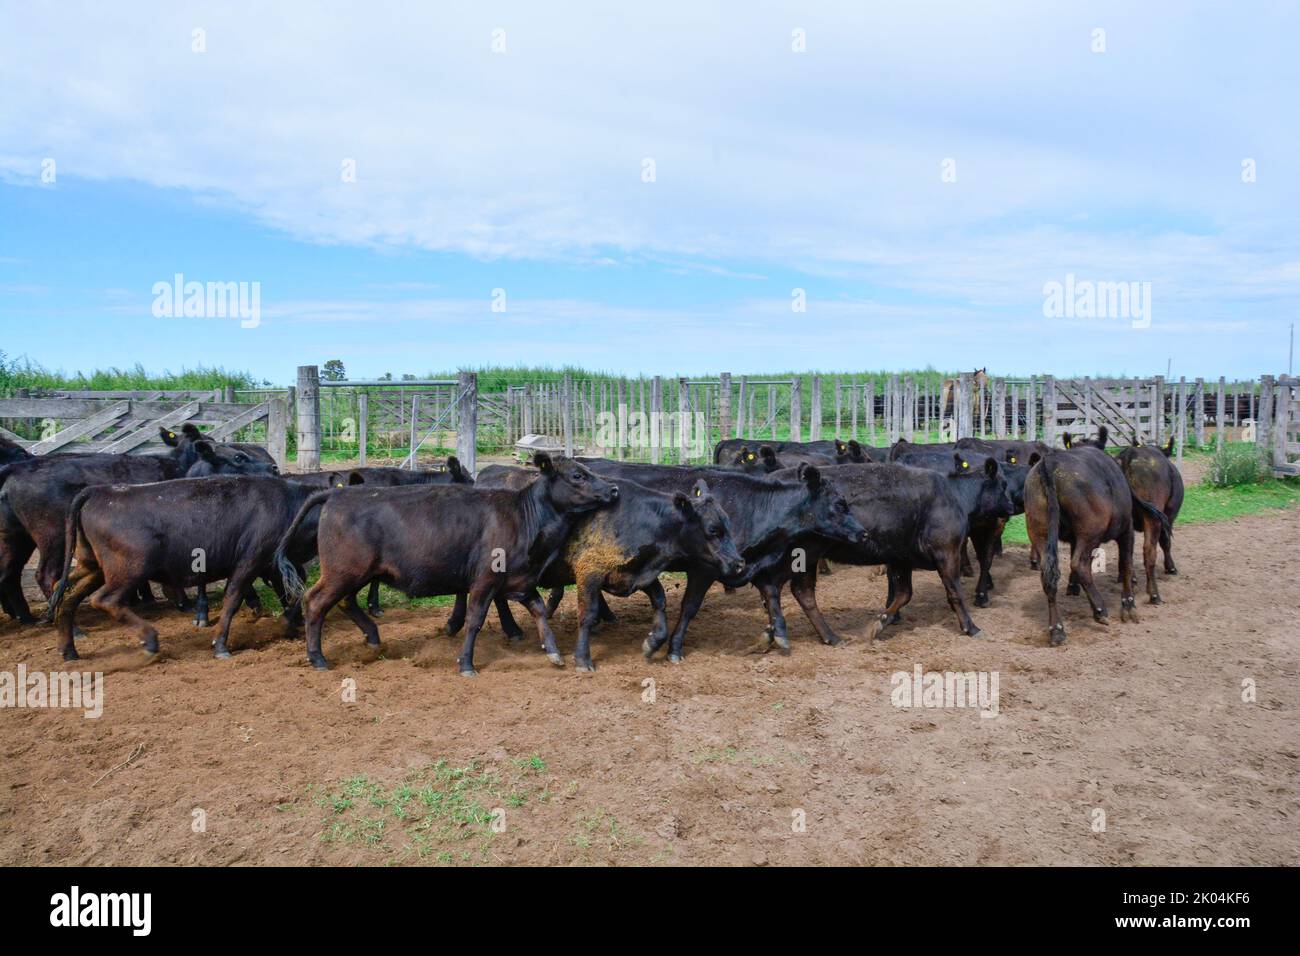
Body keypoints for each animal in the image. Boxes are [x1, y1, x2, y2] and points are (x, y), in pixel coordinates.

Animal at [48, 473, 340, 661]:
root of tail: (100, 491)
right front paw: (220, 645)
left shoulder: (273, 565)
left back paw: (69, 650)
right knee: (105, 600)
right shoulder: (249, 562)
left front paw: (289, 621)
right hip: (129, 569)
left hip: (92, 568)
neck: (289, 504)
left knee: (66, 596)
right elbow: (232, 601)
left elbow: (296, 591)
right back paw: (149, 640)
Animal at [276, 453, 618, 675]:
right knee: (315, 602)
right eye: (578, 475)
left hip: (354, 573)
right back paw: (317, 657)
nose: (613, 489)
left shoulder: (519, 581)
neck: (522, 516)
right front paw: (466, 663)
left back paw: (372, 638)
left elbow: (539, 610)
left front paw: (554, 652)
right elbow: (475, 619)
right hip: (343, 571)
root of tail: (335, 495)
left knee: (345, 602)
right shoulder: (484, 580)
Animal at [577, 459, 866, 660]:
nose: (863, 532)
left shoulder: (746, 563)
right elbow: (690, 607)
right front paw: (674, 648)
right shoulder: (704, 567)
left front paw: (776, 634)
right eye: (840, 504)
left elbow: (771, 594)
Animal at [1024, 438, 1170, 645]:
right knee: (1079, 564)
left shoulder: (1074, 539)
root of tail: (1049, 463)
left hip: (1040, 531)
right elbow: (1126, 564)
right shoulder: (1126, 530)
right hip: (1090, 533)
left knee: (1049, 575)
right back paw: (1100, 610)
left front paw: (1072, 588)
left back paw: (1057, 630)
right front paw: (1128, 605)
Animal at [1113, 436, 1183, 604]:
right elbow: (1166, 542)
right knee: (1149, 551)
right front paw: (1171, 567)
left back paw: (1129, 581)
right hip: (1153, 517)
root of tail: (1129, 454)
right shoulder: (1167, 518)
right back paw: (1154, 594)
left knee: (1126, 552)